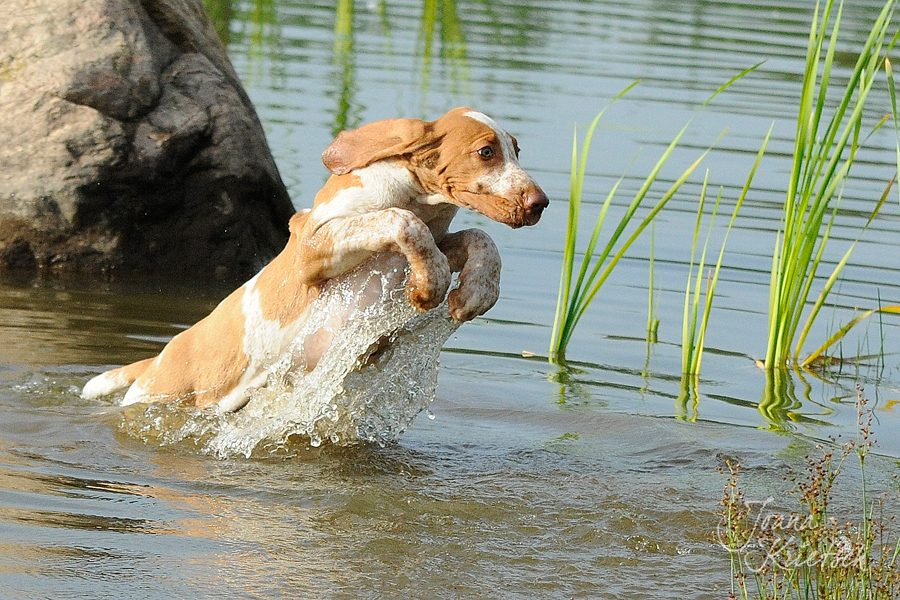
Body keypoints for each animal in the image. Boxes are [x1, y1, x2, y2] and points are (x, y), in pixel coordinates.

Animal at [84, 108, 548, 410]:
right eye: (486, 152)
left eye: (517, 151)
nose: (540, 203)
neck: (415, 196)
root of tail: (154, 361)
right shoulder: (313, 248)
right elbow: (398, 221)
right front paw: (430, 282)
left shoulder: (434, 240)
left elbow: (478, 237)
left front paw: (476, 293)